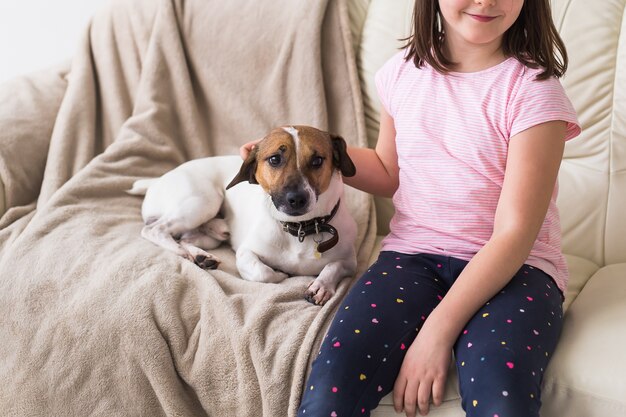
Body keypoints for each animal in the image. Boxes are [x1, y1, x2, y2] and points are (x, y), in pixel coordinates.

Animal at [127, 125, 356, 304]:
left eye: (317, 160)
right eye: (275, 159)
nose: (297, 198)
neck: (299, 228)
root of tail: (156, 180)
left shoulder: (350, 262)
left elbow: (333, 266)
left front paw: (322, 285)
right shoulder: (246, 253)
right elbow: (264, 273)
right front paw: (280, 273)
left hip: (205, 232)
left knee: (186, 238)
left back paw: (202, 253)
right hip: (204, 201)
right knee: (154, 230)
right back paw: (184, 250)